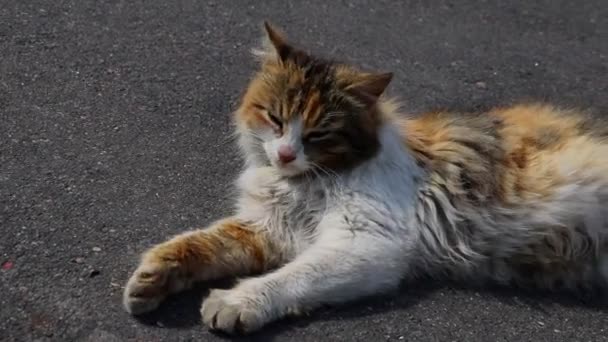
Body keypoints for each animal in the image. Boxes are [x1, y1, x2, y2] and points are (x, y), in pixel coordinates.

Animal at [122, 22, 608, 334]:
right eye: (274, 118)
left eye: (317, 133)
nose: (285, 153)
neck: (310, 180)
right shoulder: (266, 228)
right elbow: (199, 243)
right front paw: (151, 279)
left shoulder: (366, 242)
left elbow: (293, 277)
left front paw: (237, 302)